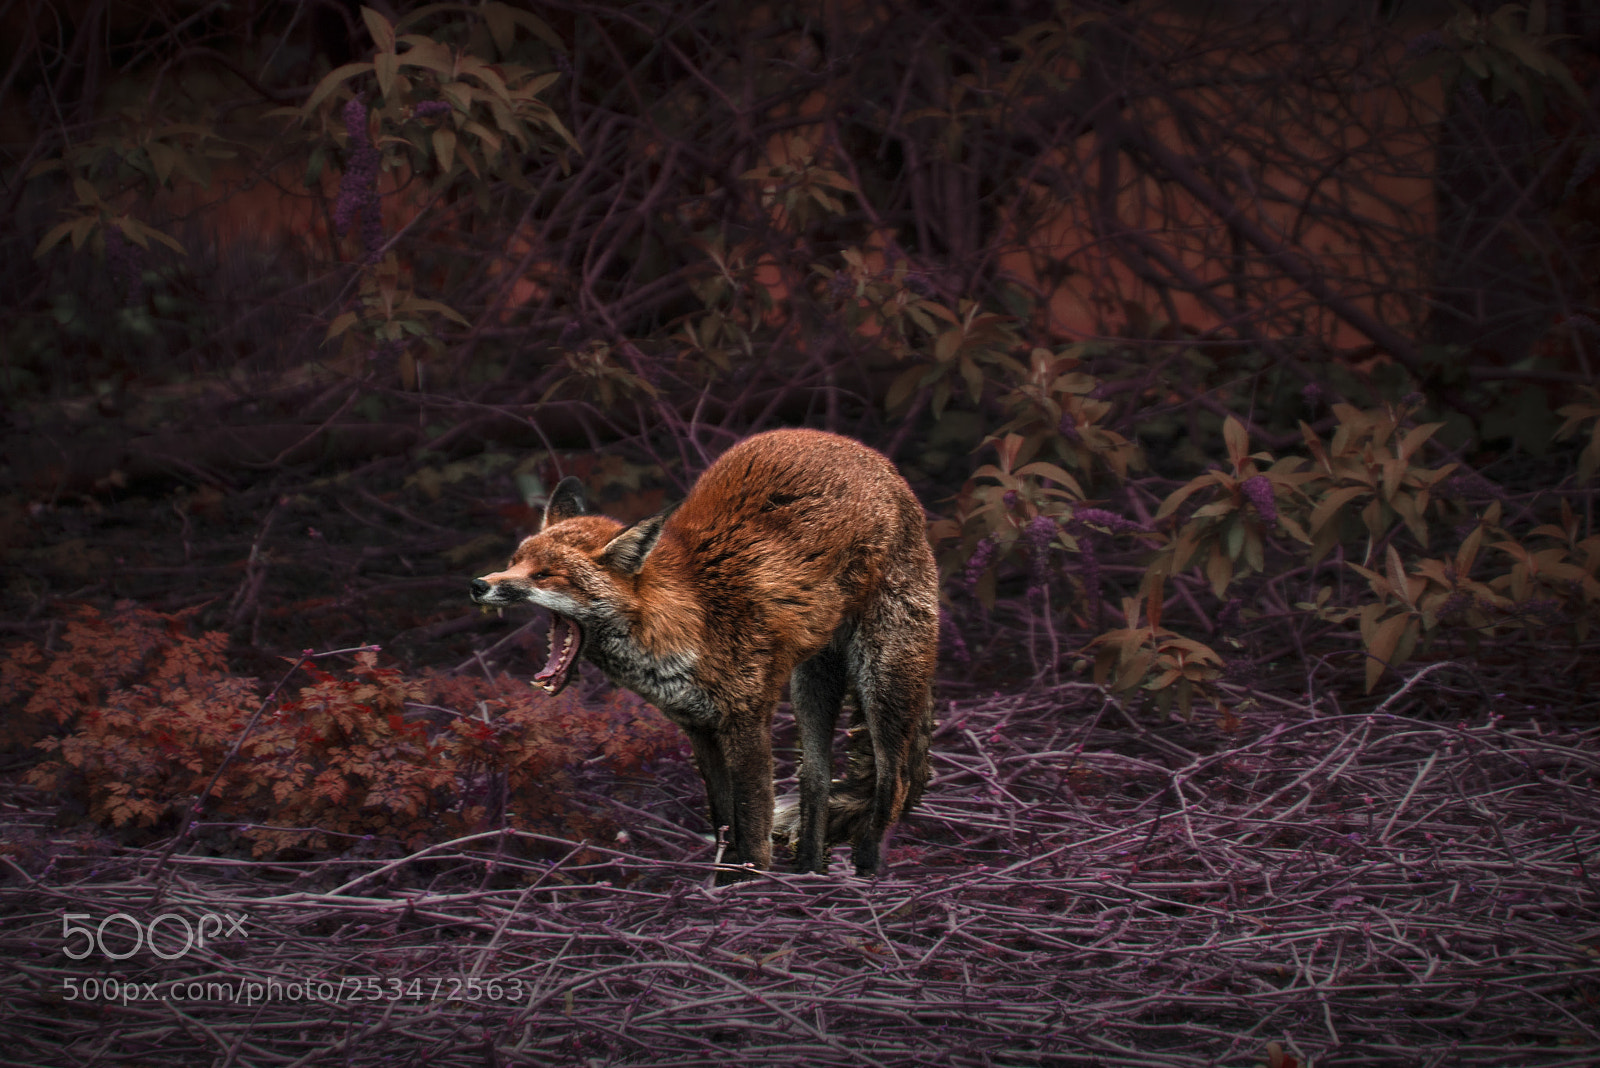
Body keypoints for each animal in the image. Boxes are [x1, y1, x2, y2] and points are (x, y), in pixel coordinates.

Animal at [470, 428, 938, 878]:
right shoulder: (699, 728)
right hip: (811, 686)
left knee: (893, 783)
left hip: (884, 681)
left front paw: (751, 888)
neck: (685, 617)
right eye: (514, 561)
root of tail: (880, 463)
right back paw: (808, 872)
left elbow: (752, 836)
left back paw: (866, 873)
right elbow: (724, 824)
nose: (478, 584)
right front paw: (723, 883)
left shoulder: (747, 723)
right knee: (817, 781)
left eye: (546, 575)